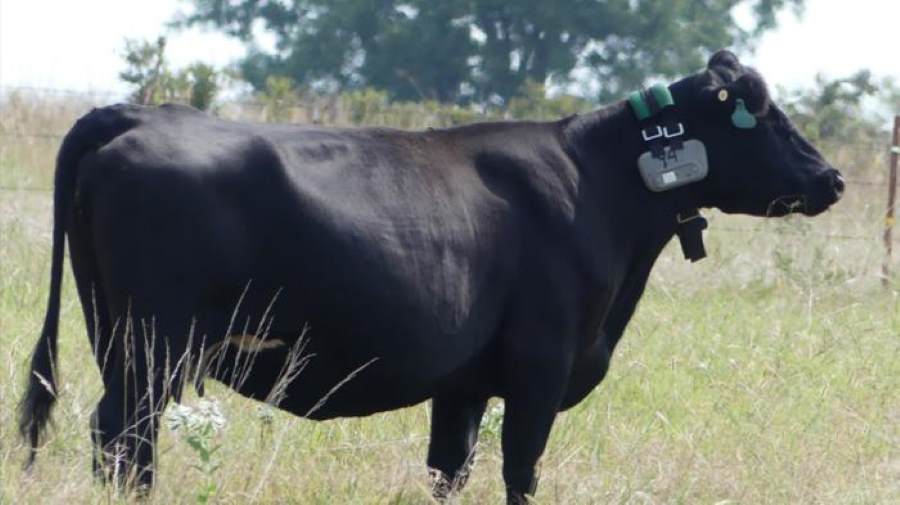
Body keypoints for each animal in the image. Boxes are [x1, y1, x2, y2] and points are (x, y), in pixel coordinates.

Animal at [20, 50, 843, 503]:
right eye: (763, 114)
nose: (831, 178)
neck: (596, 183)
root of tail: (140, 114)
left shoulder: (464, 383)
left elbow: (449, 471)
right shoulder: (539, 371)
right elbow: (520, 471)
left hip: (118, 336)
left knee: (122, 442)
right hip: (150, 346)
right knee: (124, 438)